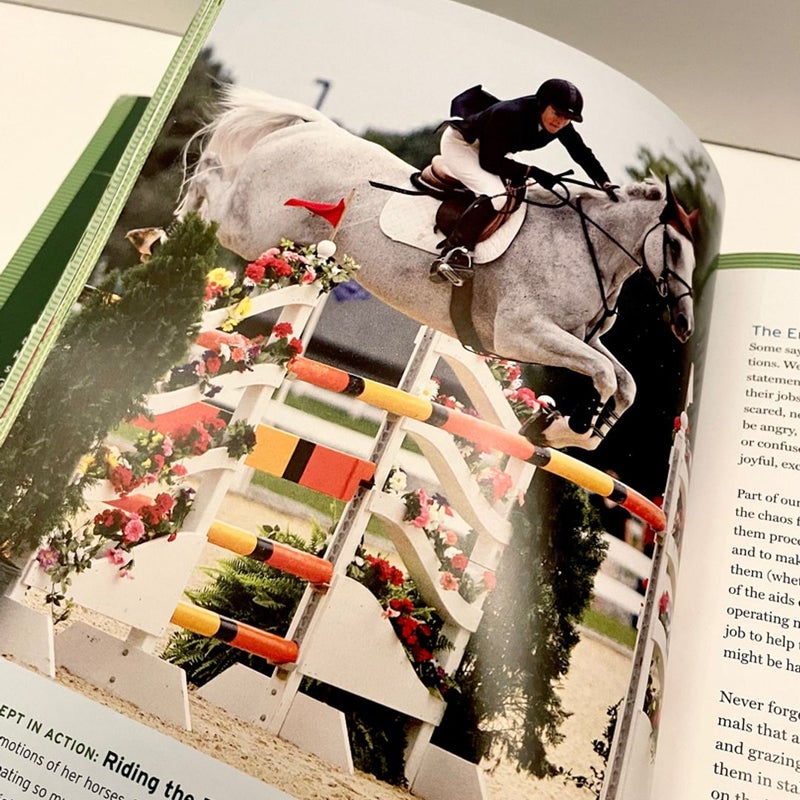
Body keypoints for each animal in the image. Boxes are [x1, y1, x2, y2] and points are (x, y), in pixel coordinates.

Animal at [175, 89, 692, 450]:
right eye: (671, 244)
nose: (685, 326)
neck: (584, 247)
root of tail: (309, 129)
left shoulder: (582, 338)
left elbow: (626, 384)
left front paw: (561, 431)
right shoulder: (519, 333)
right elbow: (604, 375)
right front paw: (569, 424)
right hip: (250, 228)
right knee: (210, 185)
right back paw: (170, 230)